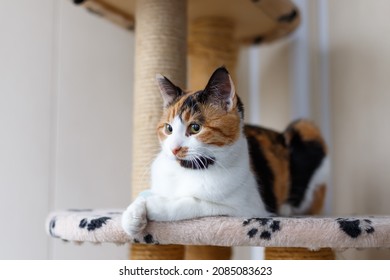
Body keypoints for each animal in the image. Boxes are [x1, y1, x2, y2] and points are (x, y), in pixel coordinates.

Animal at [120, 66, 328, 235]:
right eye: (168, 128)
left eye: (195, 128)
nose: (174, 149)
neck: (188, 170)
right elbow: (143, 194)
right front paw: (133, 214)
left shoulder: (245, 208)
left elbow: (193, 202)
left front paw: (154, 206)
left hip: (306, 130)